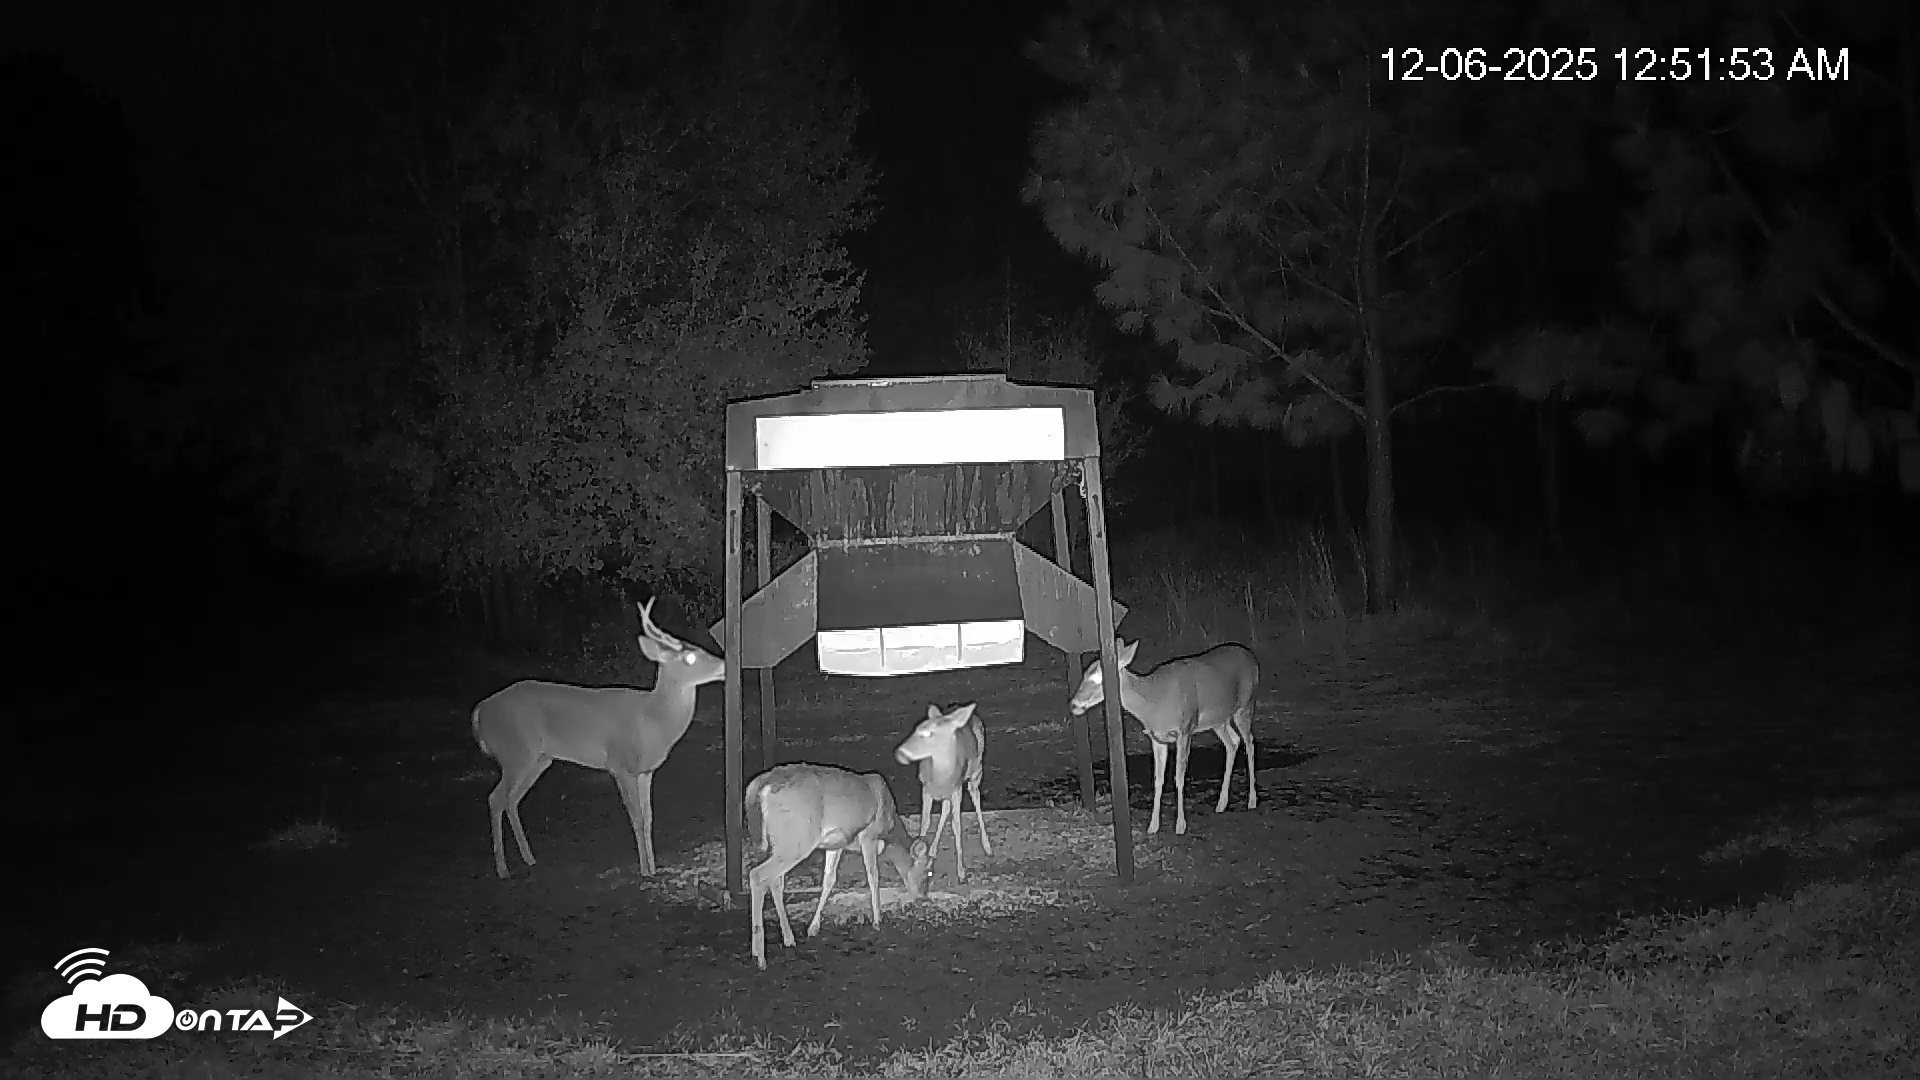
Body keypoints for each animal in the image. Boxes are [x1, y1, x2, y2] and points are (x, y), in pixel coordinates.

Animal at [471, 597, 724, 879]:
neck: (652, 720)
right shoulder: (620, 765)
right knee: (495, 798)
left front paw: (654, 867)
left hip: (539, 759)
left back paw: (529, 858)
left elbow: (649, 818)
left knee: (511, 799)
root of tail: (480, 710)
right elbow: (636, 817)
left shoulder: (646, 771)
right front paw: (644, 871)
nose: (724, 665)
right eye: (690, 657)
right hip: (514, 753)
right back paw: (503, 869)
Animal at [744, 762, 934, 969]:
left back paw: (788, 939)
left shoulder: (836, 844)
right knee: (758, 875)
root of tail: (760, 785)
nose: (923, 896)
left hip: (780, 842)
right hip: (797, 840)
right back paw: (760, 957)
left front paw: (813, 928)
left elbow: (829, 880)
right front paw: (877, 921)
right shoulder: (869, 835)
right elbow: (873, 876)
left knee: (776, 882)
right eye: (928, 872)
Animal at [892, 702, 991, 883]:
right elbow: (925, 822)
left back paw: (987, 847)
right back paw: (931, 854)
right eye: (916, 729)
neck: (940, 778)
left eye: (929, 733)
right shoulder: (926, 788)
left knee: (975, 795)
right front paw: (919, 861)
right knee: (945, 810)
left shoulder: (957, 789)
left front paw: (961, 872)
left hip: (977, 771)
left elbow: (957, 825)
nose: (900, 753)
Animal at [1069, 638, 1261, 836]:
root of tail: (1250, 657)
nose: (1073, 704)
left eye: (1099, 679)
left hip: (1246, 705)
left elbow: (1179, 777)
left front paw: (1180, 825)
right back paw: (1221, 803)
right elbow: (1158, 779)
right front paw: (1153, 826)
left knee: (1250, 742)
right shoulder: (1157, 738)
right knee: (1233, 742)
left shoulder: (1185, 729)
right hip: (1218, 720)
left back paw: (1252, 800)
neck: (1154, 703)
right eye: (1085, 674)